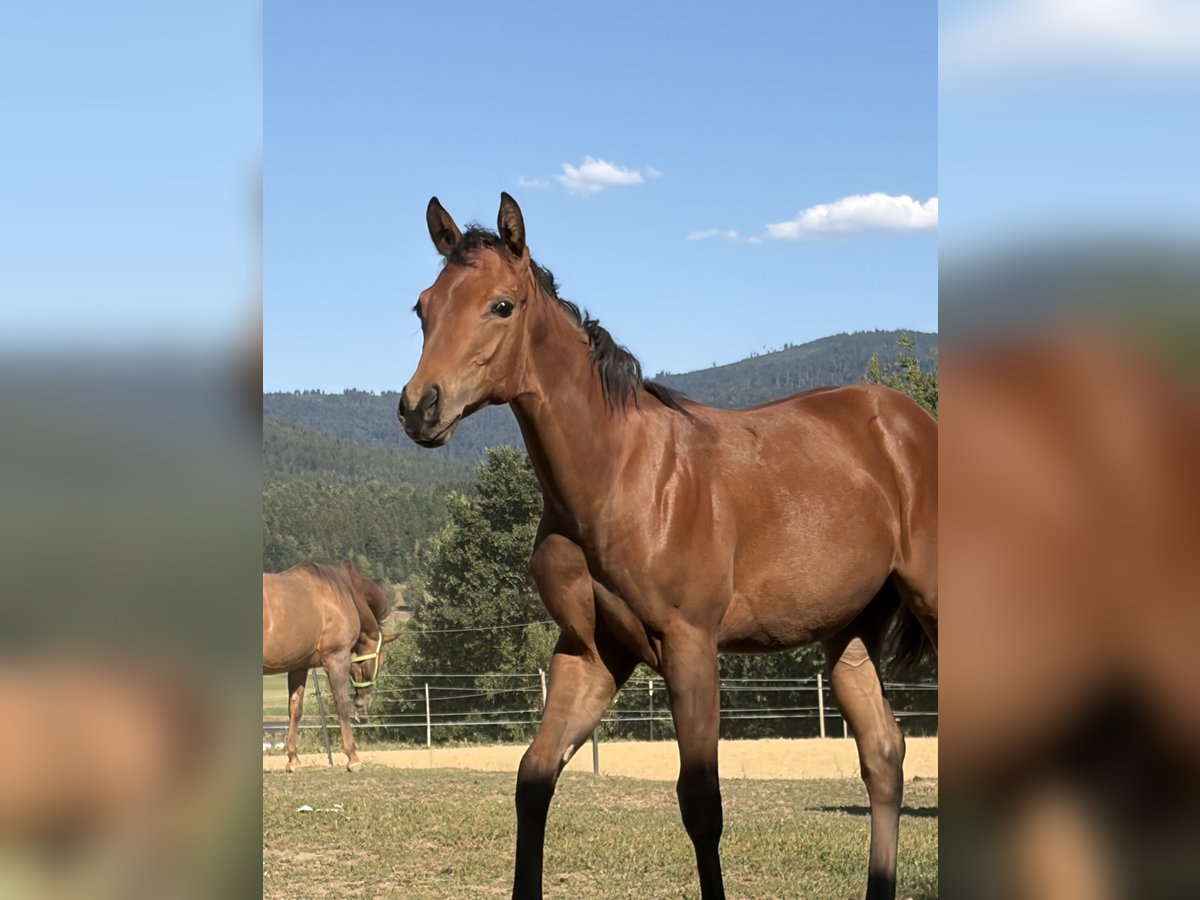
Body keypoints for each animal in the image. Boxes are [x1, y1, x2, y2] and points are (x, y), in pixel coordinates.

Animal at [262, 560, 397, 772]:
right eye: (382, 660)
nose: (363, 702)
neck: (343, 594)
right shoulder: (337, 660)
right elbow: (341, 705)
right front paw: (353, 758)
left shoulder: (299, 667)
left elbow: (295, 709)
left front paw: (293, 759)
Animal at [398, 193, 938, 899]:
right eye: (423, 307)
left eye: (501, 305)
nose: (419, 407)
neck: (621, 476)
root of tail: (912, 423)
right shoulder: (591, 653)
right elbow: (533, 779)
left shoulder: (691, 647)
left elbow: (701, 804)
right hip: (848, 635)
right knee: (883, 755)